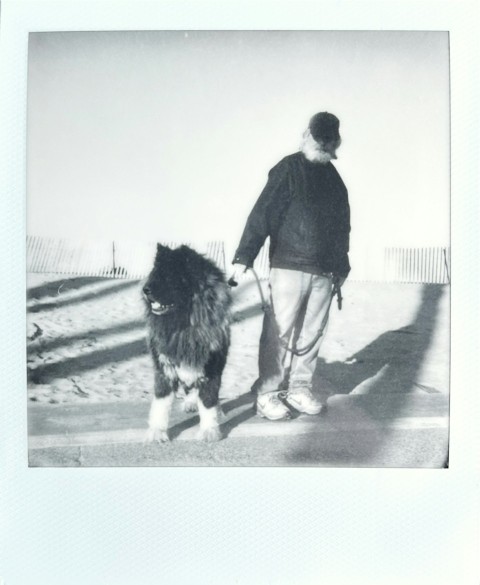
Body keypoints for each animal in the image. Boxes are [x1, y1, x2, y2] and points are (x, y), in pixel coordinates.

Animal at [142, 244, 232, 440]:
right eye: (154, 274)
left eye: (169, 276)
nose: (145, 289)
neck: (184, 326)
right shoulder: (165, 366)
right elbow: (161, 402)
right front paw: (157, 431)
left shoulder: (211, 367)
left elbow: (208, 399)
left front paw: (209, 430)